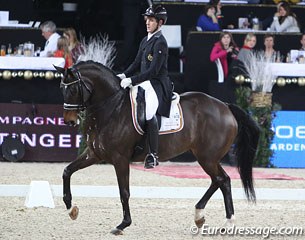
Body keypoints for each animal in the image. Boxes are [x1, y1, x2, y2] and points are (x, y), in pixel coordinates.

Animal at [55, 61, 258, 235]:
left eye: (73, 88)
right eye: (61, 88)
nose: (69, 121)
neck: (112, 107)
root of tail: (226, 106)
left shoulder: (120, 159)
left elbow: (124, 192)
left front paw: (123, 224)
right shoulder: (94, 154)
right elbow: (67, 171)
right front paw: (71, 209)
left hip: (207, 157)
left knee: (222, 180)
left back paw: (227, 222)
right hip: (207, 157)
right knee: (219, 180)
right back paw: (201, 217)